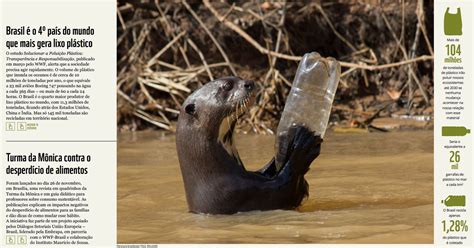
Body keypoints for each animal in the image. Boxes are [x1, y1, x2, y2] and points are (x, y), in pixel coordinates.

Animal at [177, 76, 322, 214]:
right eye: (227, 86)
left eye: (239, 78)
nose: (249, 82)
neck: (215, 173)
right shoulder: (241, 193)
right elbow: (285, 188)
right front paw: (303, 145)